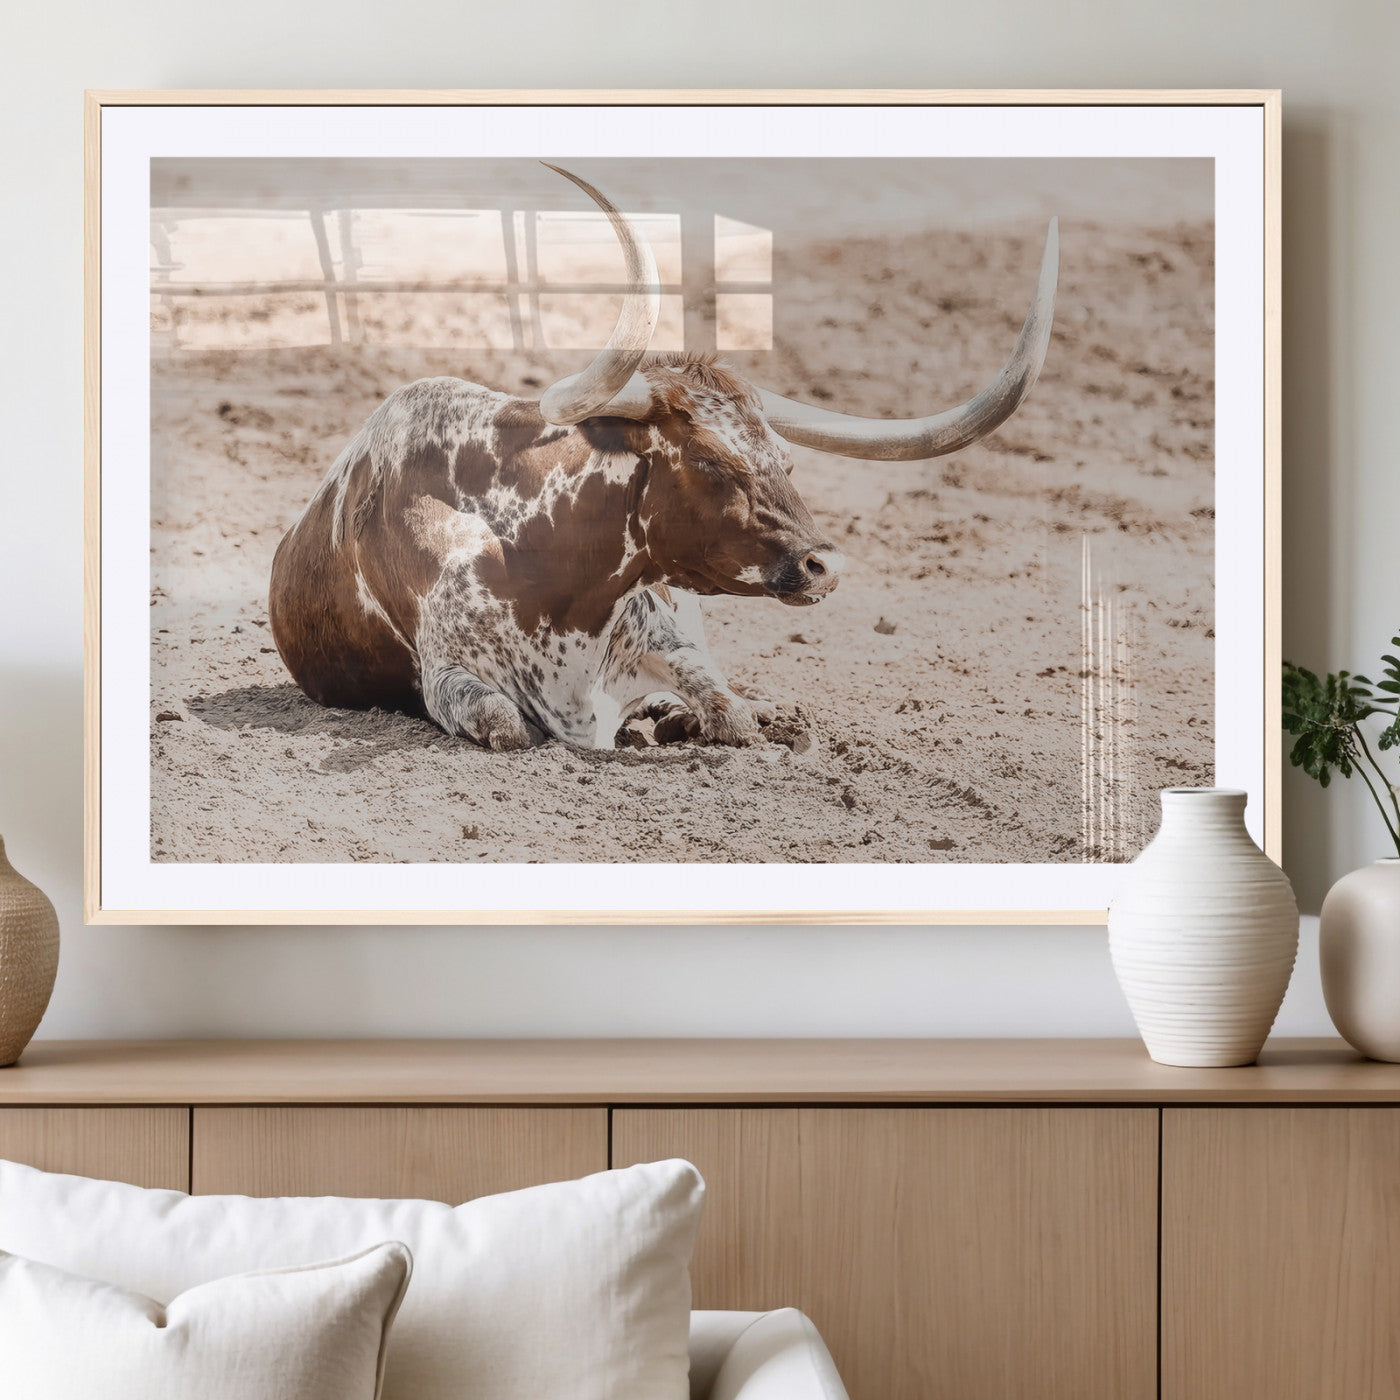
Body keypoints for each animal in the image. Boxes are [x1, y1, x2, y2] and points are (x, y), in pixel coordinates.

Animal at [269, 165, 1058, 751]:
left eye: (785, 460)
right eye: (709, 461)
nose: (823, 565)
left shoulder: (672, 637)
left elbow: (730, 711)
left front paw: (704, 718)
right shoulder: (450, 678)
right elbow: (509, 725)